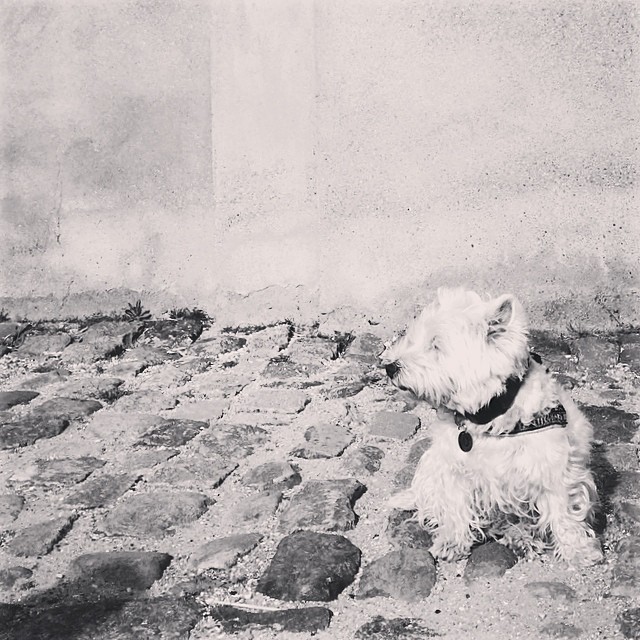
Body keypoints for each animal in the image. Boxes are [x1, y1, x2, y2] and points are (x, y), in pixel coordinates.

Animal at [382, 290, 604, 564]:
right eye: (413, 337)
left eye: (435, 344)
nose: (390, 367)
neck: (487, 417)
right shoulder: (454, 470)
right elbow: (455, 507)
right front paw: (452, 543)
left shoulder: (554, 470)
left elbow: (563, 513)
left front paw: (579, 551)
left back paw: (522, 537)